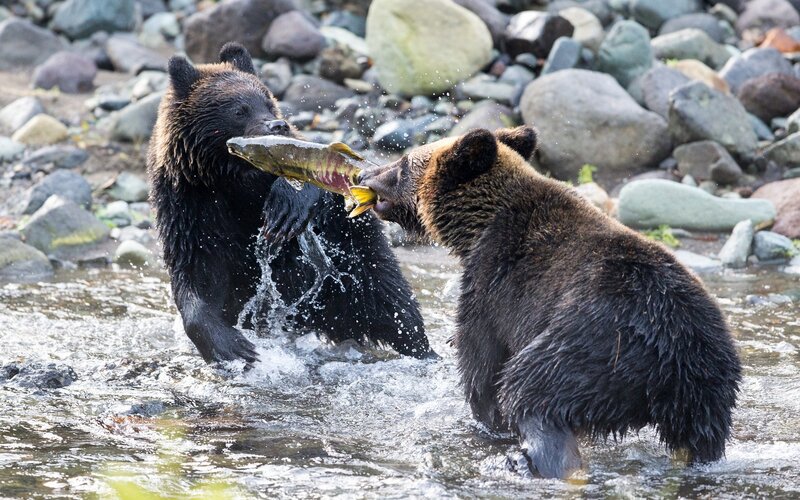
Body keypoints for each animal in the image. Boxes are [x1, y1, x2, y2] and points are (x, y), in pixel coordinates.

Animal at [147, 42, 435, 365]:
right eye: (239, 110)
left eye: (268, 101)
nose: (278, 124)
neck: (230, 177)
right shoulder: (189, 206)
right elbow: (197, 274)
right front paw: (233, 346)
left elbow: (317, 178)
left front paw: (286, 207)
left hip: (357, 260)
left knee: (391, 301)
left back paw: (426, 351)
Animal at [360, 126, 742, 478]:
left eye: (403, 163)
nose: (364, 174)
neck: (477, 227)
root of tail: (673, 352)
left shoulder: (493, 287)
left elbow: (481, 363)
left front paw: (485, 420)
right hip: (707, 386)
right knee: (702, 439)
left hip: (591, 346)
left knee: (529, 390)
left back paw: (530, 459)